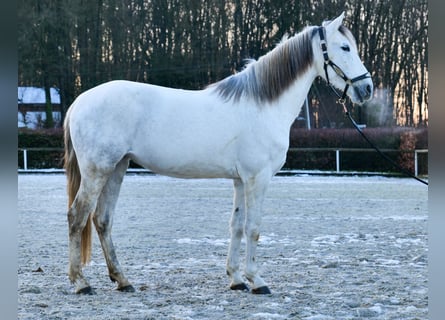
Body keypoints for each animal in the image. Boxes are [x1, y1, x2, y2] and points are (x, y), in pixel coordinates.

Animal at [64, 13, 372, 296]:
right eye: (345, 47)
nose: (366, 88)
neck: (263, 105)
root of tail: (79, 102)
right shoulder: (258, 178)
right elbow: (253, 227)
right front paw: (257, 281)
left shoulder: (240, 180)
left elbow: (236, 226)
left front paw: (236, 279)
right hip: (97, 171)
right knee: (77, 217)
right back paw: (81, 283)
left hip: (117, 168)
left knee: (102, 220)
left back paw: (122, 280)